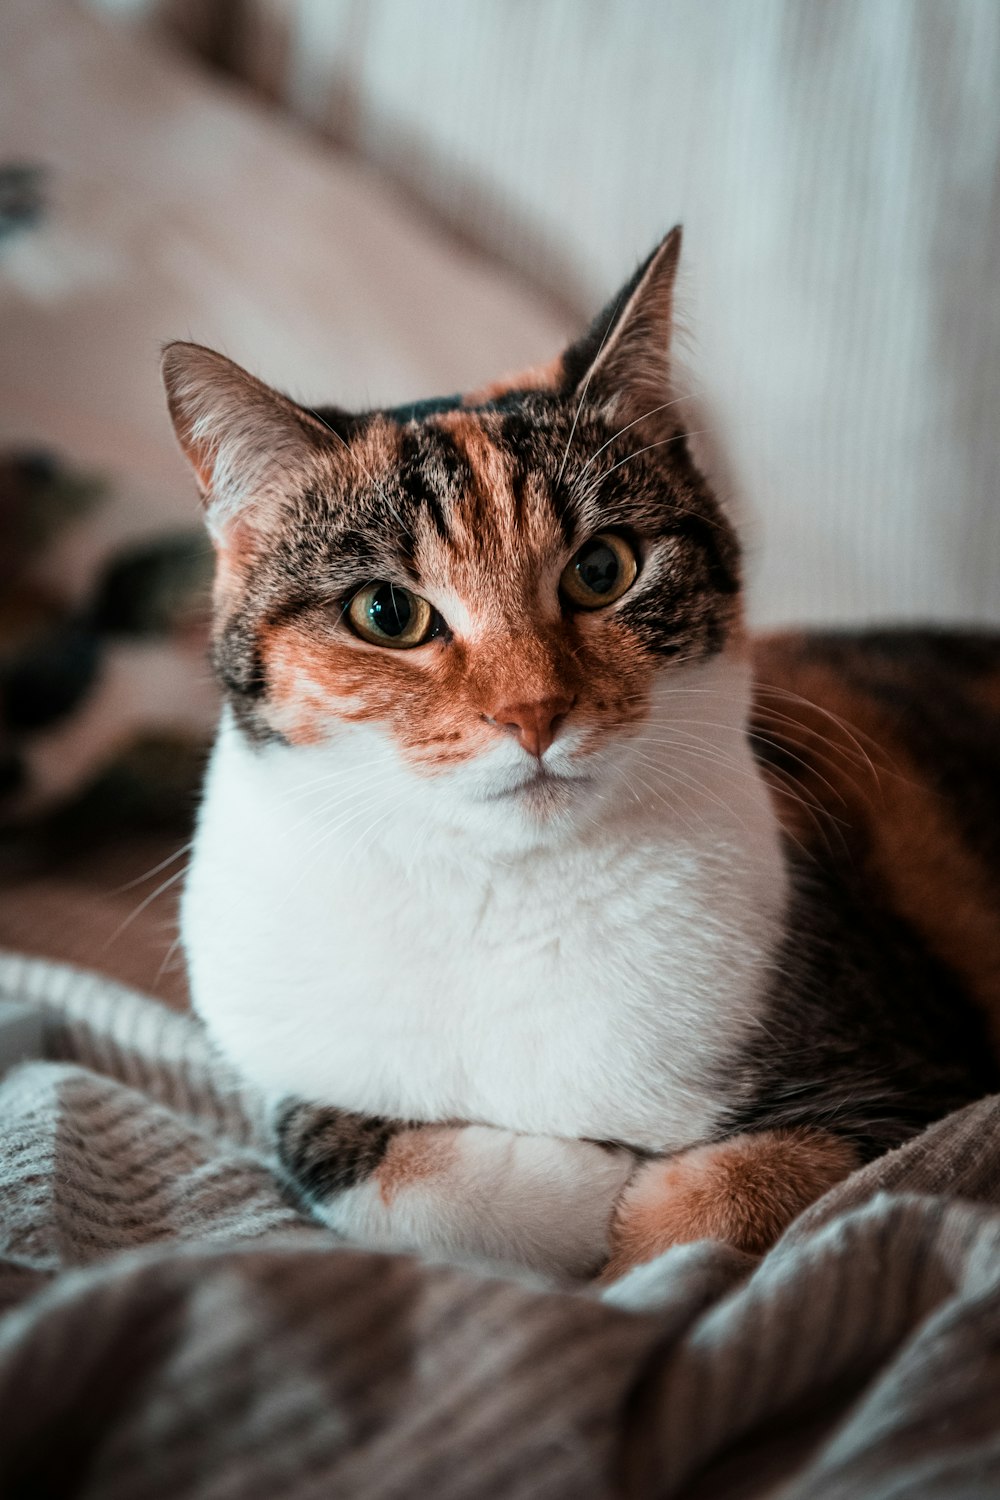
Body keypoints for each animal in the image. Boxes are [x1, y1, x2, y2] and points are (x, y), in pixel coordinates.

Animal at [160, 228, 995, 1284]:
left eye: (603, 569)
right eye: (386, 612)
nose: (533, 713)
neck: (505, 894)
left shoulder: (906, 1077)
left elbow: (722, 1203)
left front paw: (630, 1213)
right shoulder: (278, 1059)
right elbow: (336, 1148)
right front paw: (577, 1184)